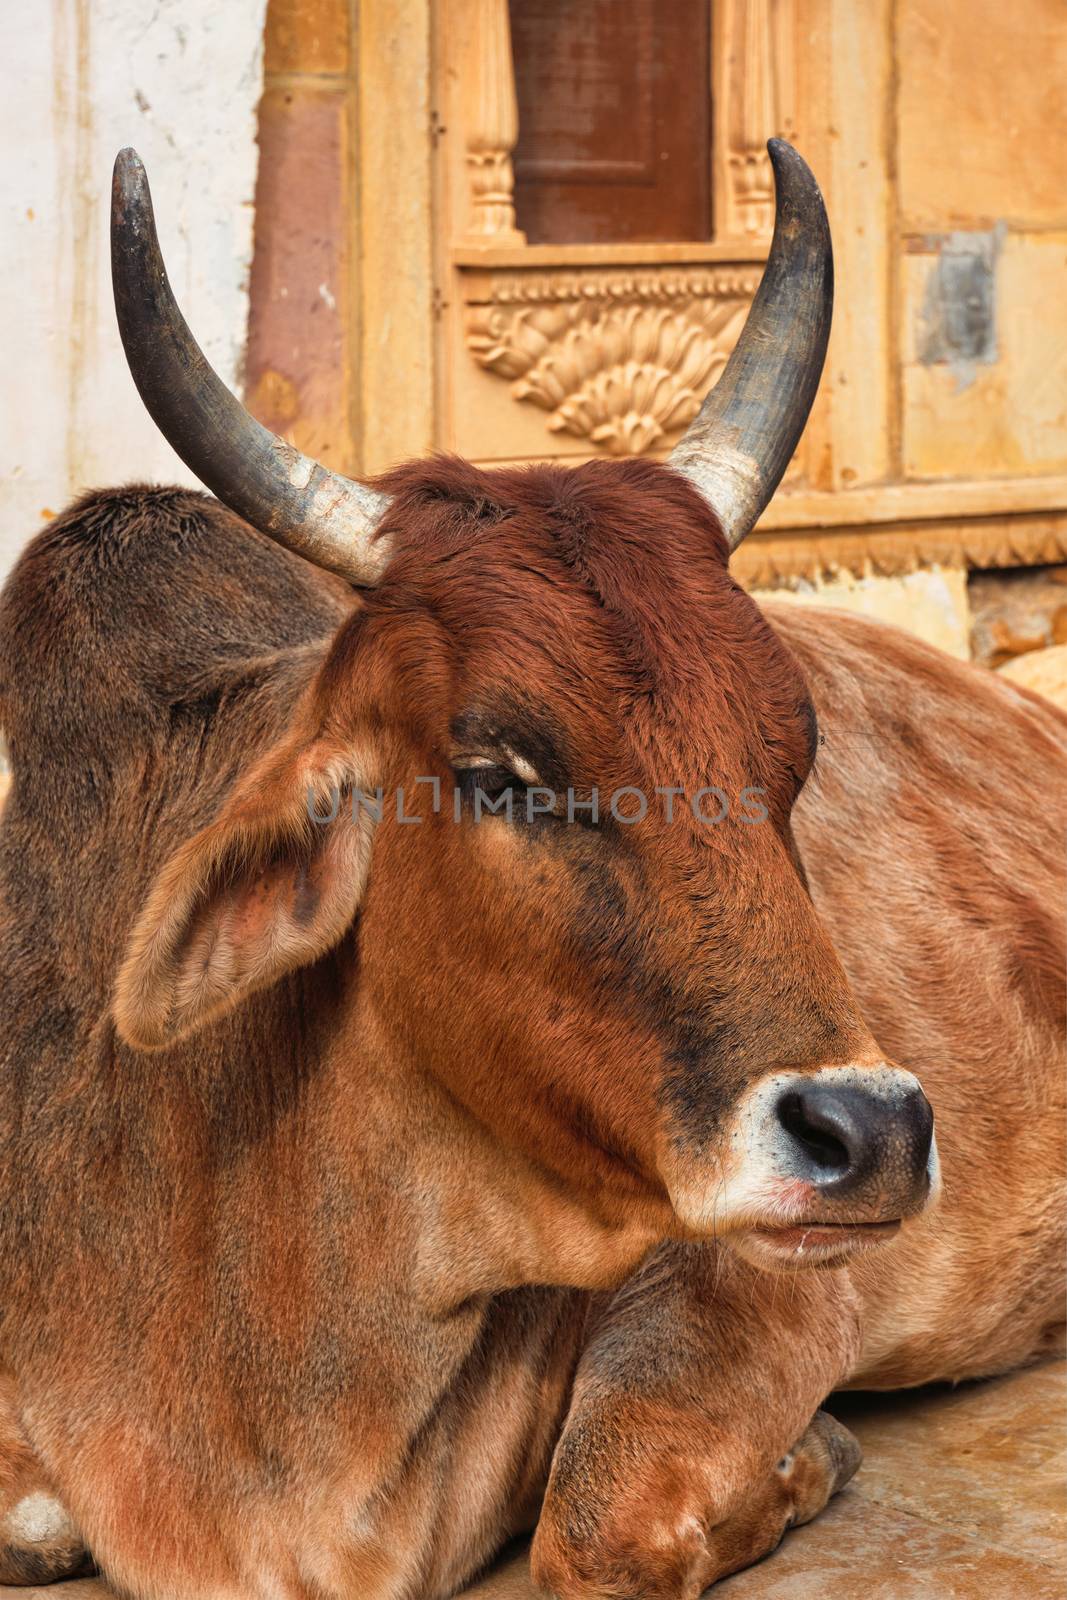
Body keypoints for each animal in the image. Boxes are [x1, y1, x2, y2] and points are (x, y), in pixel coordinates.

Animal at [0, 140, 1062, 1600]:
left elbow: (597, 1535)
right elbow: (34, 1518)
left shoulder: (756, 1277)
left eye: (788, 761)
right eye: (496, 770)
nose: (876, 1133)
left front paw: (807, 1461)